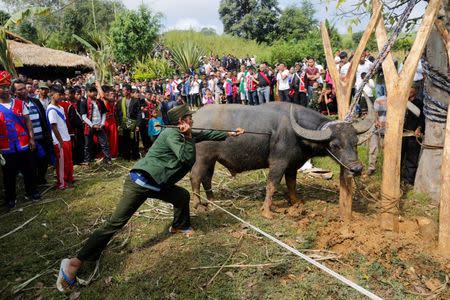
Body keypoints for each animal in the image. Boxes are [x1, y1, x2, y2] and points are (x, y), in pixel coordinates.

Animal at [189, 101, 372, 218]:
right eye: (335, 145)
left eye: (355, 142)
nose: (356, 169)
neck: (297, 134)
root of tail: (195, 119)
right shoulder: (279, 162)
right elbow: (272, 184)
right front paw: (267, 211)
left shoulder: (292, 165)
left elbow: (291, 184)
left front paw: (296, 202)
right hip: (202, 157)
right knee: (195, 177)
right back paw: (198, 205)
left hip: (212, 159)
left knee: (207, 178)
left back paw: (212, 201)